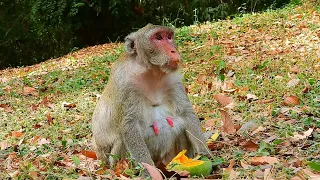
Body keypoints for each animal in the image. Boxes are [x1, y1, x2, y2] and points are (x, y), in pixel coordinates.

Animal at [91, 23, 209, 169]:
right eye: (158, 37)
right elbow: (129, 125)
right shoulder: (126, 82)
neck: (151, 71)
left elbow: (186, 112)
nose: (173, 51)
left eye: (169, 37)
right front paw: (149, 171)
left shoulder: (173, 79)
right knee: (121, 139)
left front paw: (207, 155)